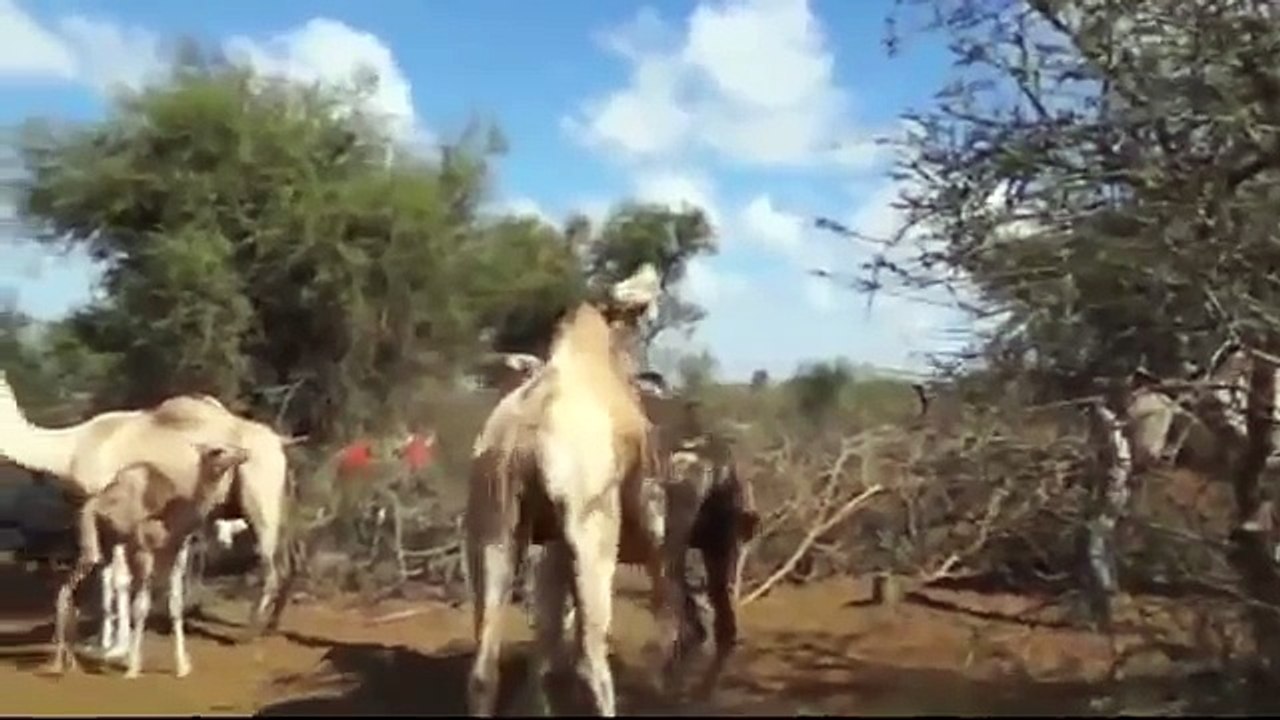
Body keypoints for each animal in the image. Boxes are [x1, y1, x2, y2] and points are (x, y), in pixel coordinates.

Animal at [0, 372, 298, 640]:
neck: (69, 451)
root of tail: (279, 443)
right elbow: (112, 577)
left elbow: (116, 579)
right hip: (273, 499)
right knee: (286, 561)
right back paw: (272, 626)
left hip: (259, 494)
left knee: (269, 562)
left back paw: (250, 632)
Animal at [49, 441, 252, 677]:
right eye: (217, 451)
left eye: (232, 446)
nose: (245, 454)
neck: (172, 518)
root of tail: (94, 500)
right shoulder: (143, 551)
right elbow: (141, 607)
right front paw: (133, 668)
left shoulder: (176, 554)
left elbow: (175, 606)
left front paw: (182, 666)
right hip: (90, 533)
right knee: (67, 588)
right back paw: (58, 663)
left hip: (110, 544)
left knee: (85, 590)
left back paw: (74, 659)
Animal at [465, 264, 662, 717]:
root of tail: (523, 439)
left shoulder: (551, 538)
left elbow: (549, 625)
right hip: (592, 535)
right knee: (590, 657)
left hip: (494, 527)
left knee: (484, 668)